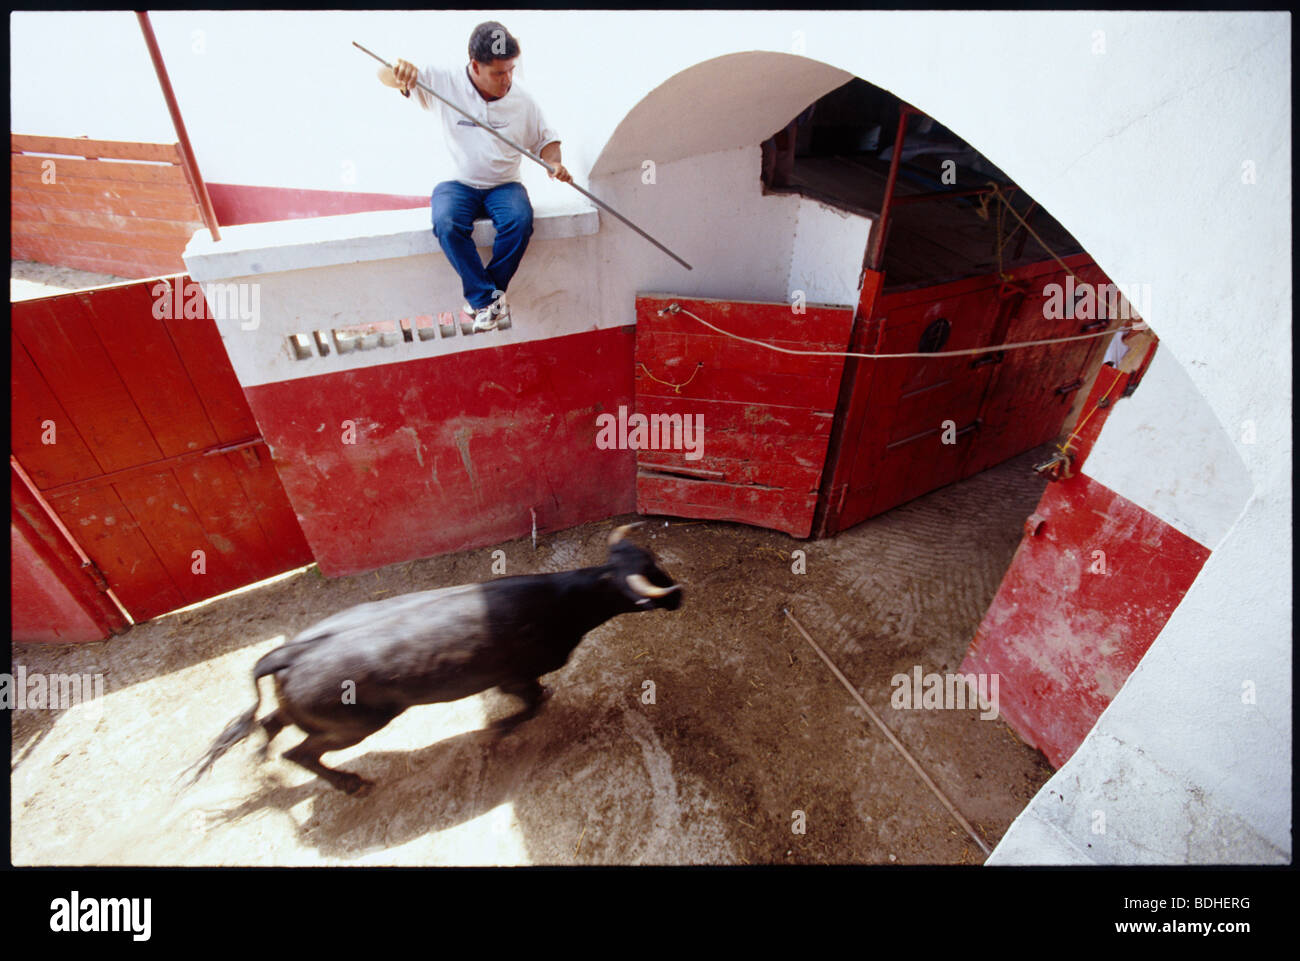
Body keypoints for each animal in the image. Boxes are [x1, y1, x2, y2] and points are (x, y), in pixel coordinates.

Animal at [189, 525, 691, 795]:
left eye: (653, 559)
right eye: (649, 580)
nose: (678, 595)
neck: (565, 599)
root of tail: (289, 651)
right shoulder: (515, 677)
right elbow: (534, 703)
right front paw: (495, 731)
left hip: (309, 711)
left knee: (270, 722)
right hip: (354, 723)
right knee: (300, 750)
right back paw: (351, 783)